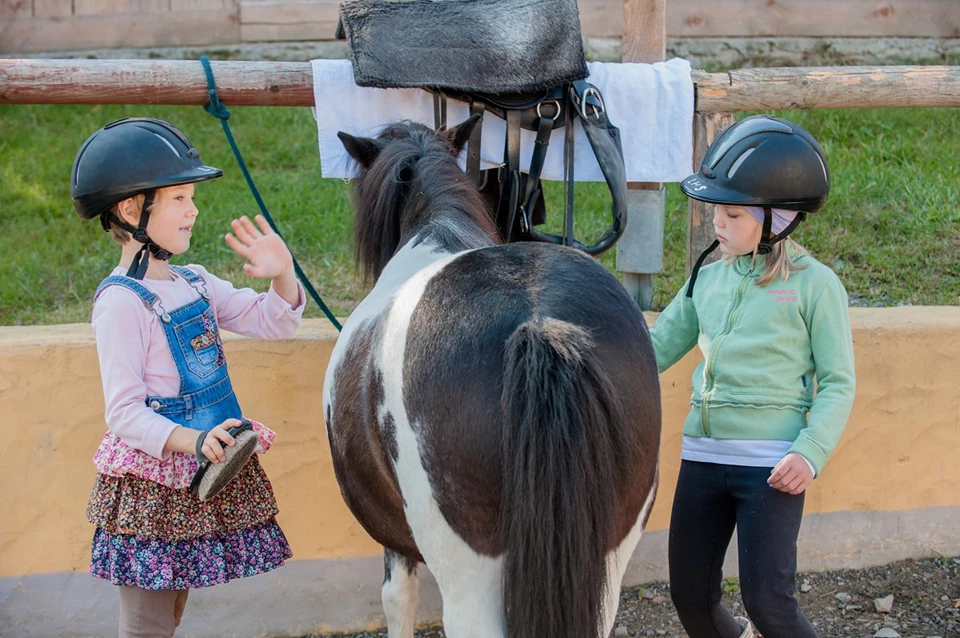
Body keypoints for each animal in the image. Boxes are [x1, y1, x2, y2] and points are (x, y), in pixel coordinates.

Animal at [322, 116, 660, 638]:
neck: (434, 231)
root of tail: (539, 325)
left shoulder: (396, 545)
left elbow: (397, 601)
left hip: (471, 582)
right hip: (608, 560)